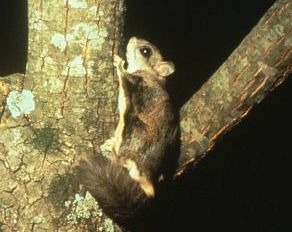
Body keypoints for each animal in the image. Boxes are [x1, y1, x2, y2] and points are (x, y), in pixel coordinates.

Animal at [78, 37, 178, 229]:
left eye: (145, 51)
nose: (133, 38)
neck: (150, 74)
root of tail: (148, 180)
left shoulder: (134, 82)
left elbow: (124, 76)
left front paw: (119, 63)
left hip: (133, 129)